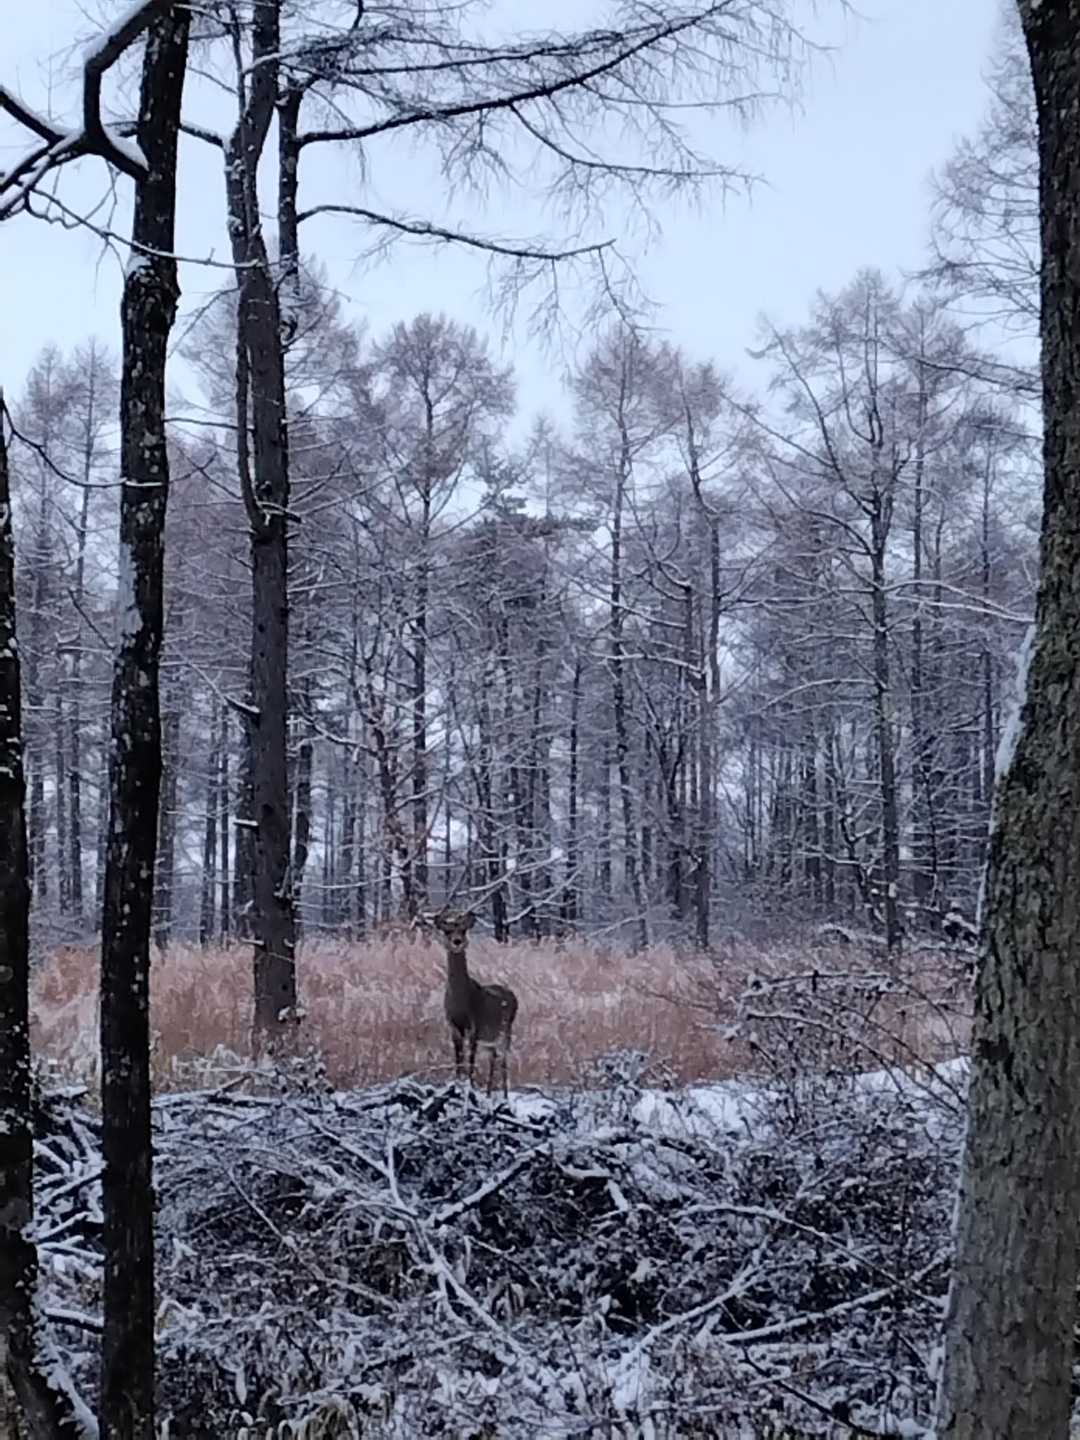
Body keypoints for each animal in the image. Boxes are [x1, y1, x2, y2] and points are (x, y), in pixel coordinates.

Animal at [432, 909, 518, 1100]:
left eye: (463, 930)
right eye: (447, 931)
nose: (457, 941)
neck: (461, 1002)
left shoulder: (474, 1026)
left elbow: (470, 1059)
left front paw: (470, 1086)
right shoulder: (453, 1026)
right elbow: (458, 1058)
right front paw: (457, 1084)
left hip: (505, 1031)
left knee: (504, 1061)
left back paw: (505, 1096)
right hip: (490, 1039)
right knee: (493, 1059)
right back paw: (488, 1094)